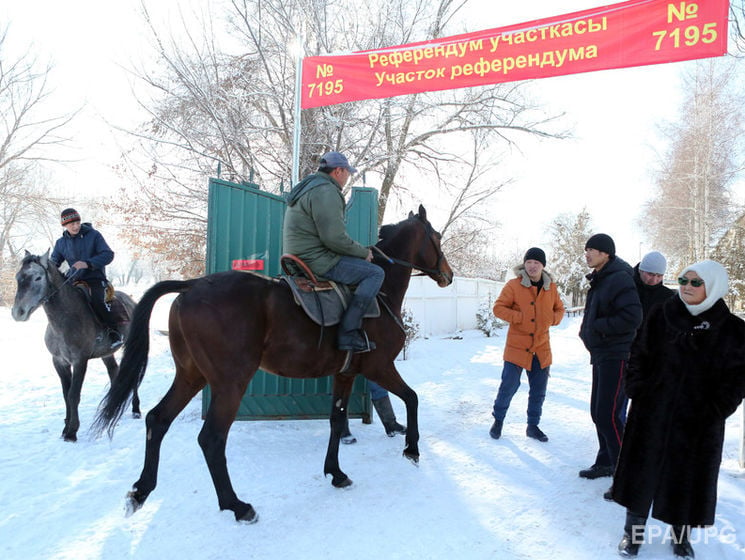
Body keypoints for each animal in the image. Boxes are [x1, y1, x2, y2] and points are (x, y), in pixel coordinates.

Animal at [11, 250, 139, 442]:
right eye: (18, 277)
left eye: (38, 278)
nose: (18, 312)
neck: (66, 319)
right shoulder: (59, 361)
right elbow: (66, 394)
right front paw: (66, 426)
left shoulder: (80, 361)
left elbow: (73, 394)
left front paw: (71, 431)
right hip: (106, 354)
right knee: (114, 372)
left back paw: (136, 410)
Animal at [93, 205, 454, 520]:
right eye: (436, 237)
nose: (448, 275)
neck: (380, 293)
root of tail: (193, 284)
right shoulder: (379, 367)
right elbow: (412, 397)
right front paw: (412, 449)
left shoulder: (346, 374)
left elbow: (337, 421)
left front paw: (335, 473)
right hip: (230, 383)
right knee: (211, 438)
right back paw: (236, 505)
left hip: (190, 376)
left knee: (158, 419)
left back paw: (141, 490)